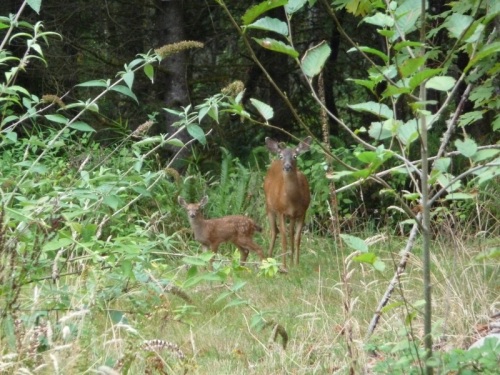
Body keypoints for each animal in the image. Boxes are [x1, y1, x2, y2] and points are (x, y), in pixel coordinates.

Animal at [264, 137, 310, 272]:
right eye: (281, 156)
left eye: (295, 156)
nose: (287, 166)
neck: (292, 202)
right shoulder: (281, 211)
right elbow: (284, 239)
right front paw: (284, 267)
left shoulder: (302, 212)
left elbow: (297, 238)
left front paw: (296, 264)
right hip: (269, 206)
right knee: (274, 231)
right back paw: (268, 258)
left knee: (289, 234)